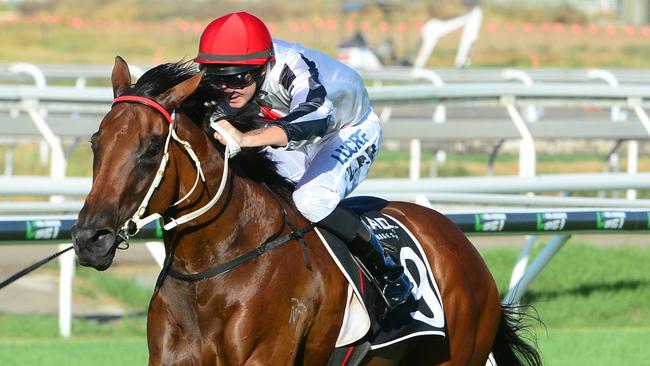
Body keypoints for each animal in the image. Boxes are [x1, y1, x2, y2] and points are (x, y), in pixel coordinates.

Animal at [72, 55, 540, 364]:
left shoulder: (266, 355)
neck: (212, 268)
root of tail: (460, 243)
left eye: (152, 149)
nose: (89, 239)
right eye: (96, 142)